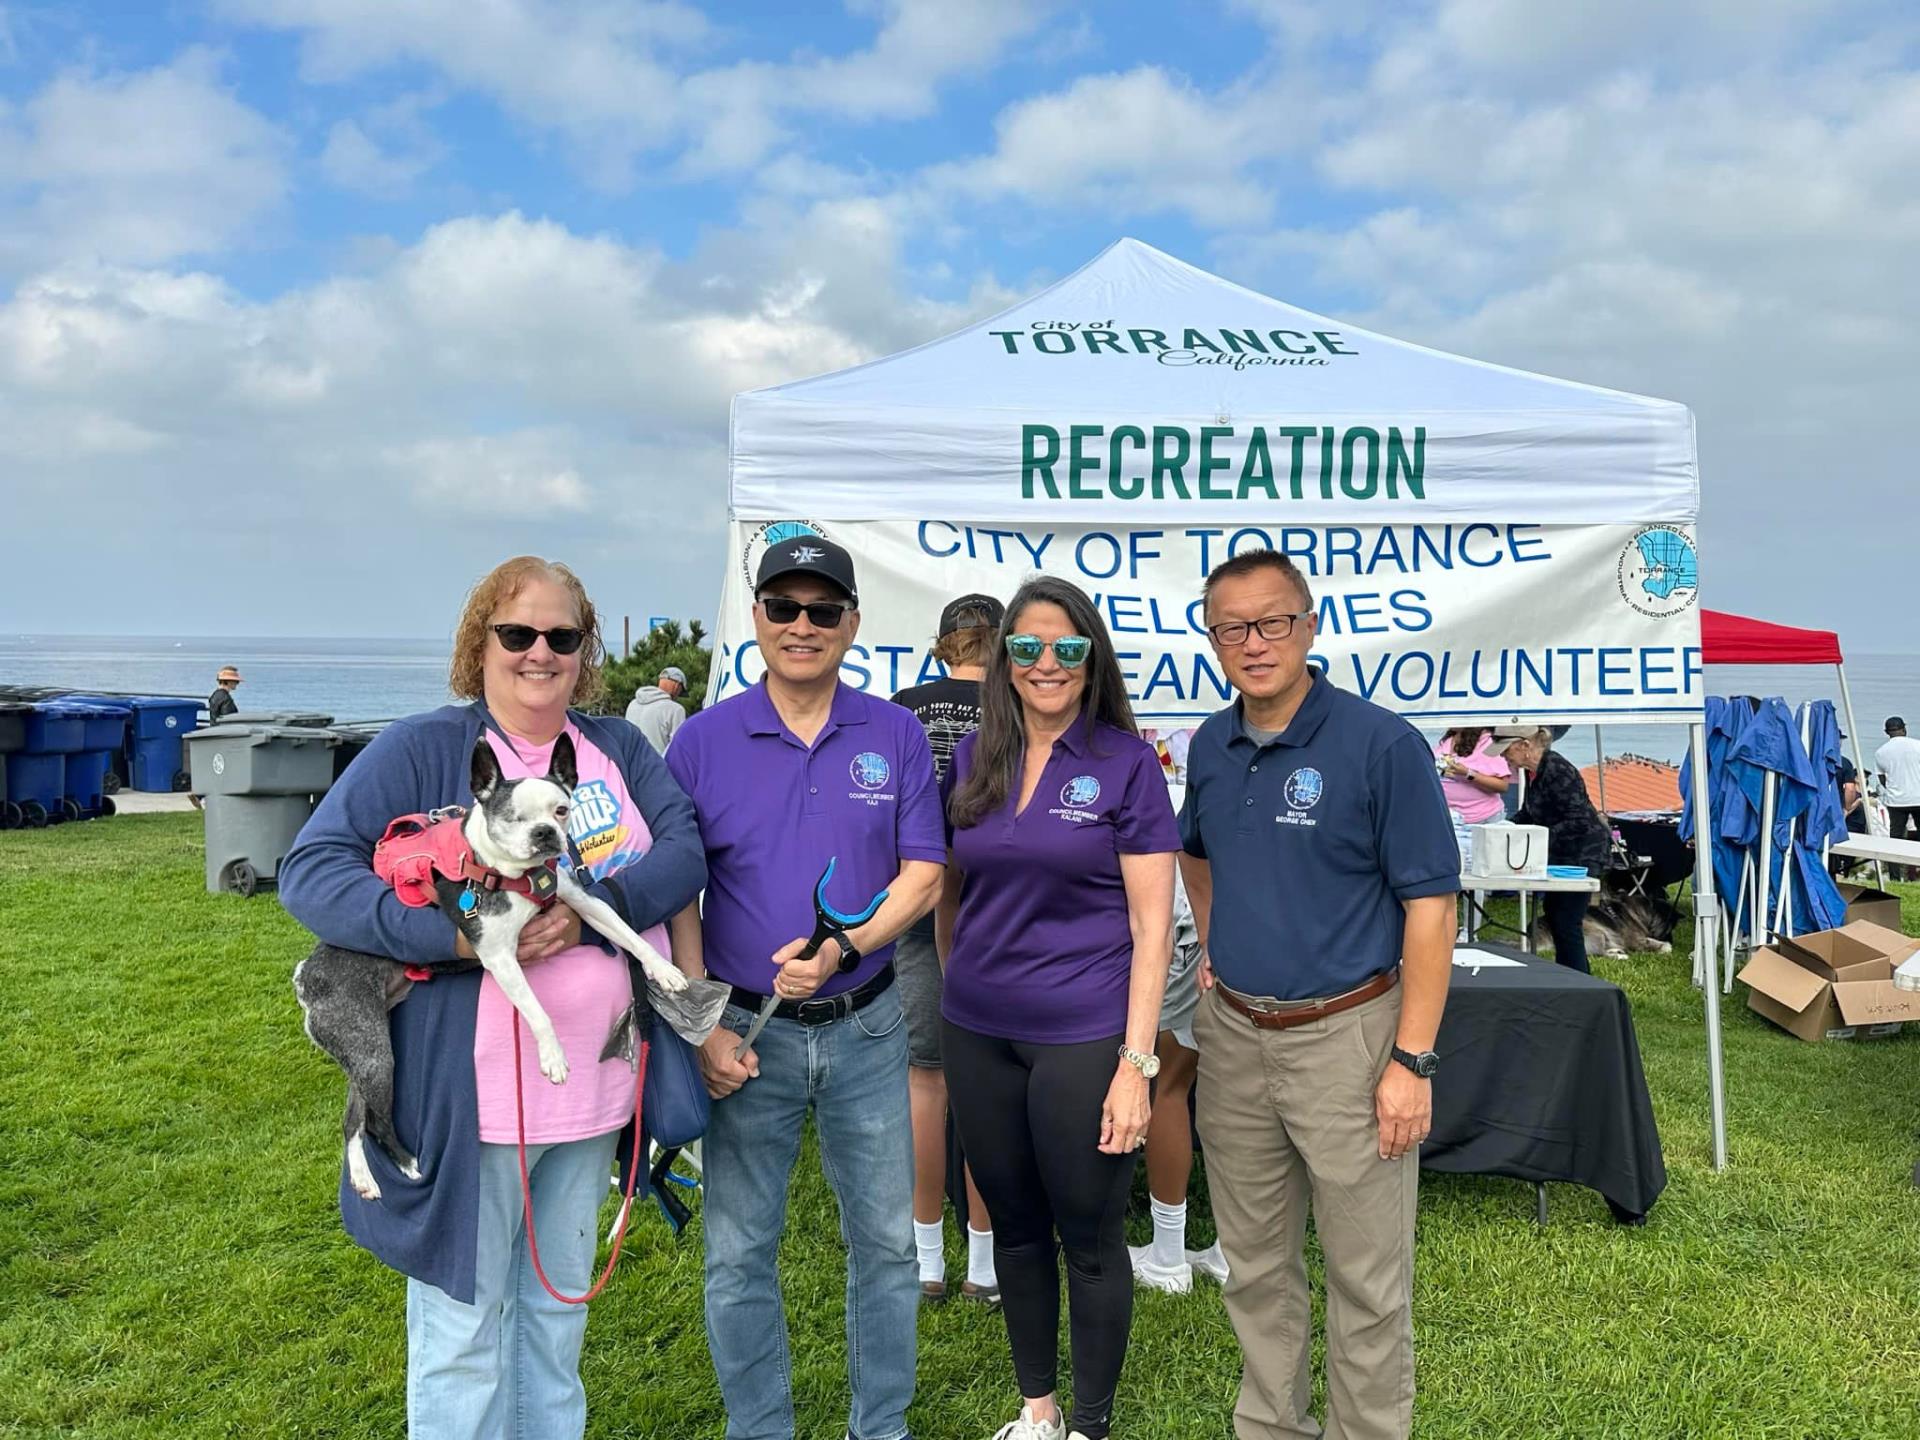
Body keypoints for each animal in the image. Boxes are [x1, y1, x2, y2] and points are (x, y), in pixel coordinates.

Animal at [295, 737, 687, 1198]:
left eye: (562, 809)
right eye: (513, 817)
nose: (545, 833)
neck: (512, 873)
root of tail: (305, 976)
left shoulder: (585, 902)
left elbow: (629, 934)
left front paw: (664, 970)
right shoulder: (499, 954)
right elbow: (538, 1011)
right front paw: (553, 1057)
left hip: (364, 1053)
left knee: (354, 1119)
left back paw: (362, 1176)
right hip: (373, 1052)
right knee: (374, 1120)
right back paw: (407, 1164)